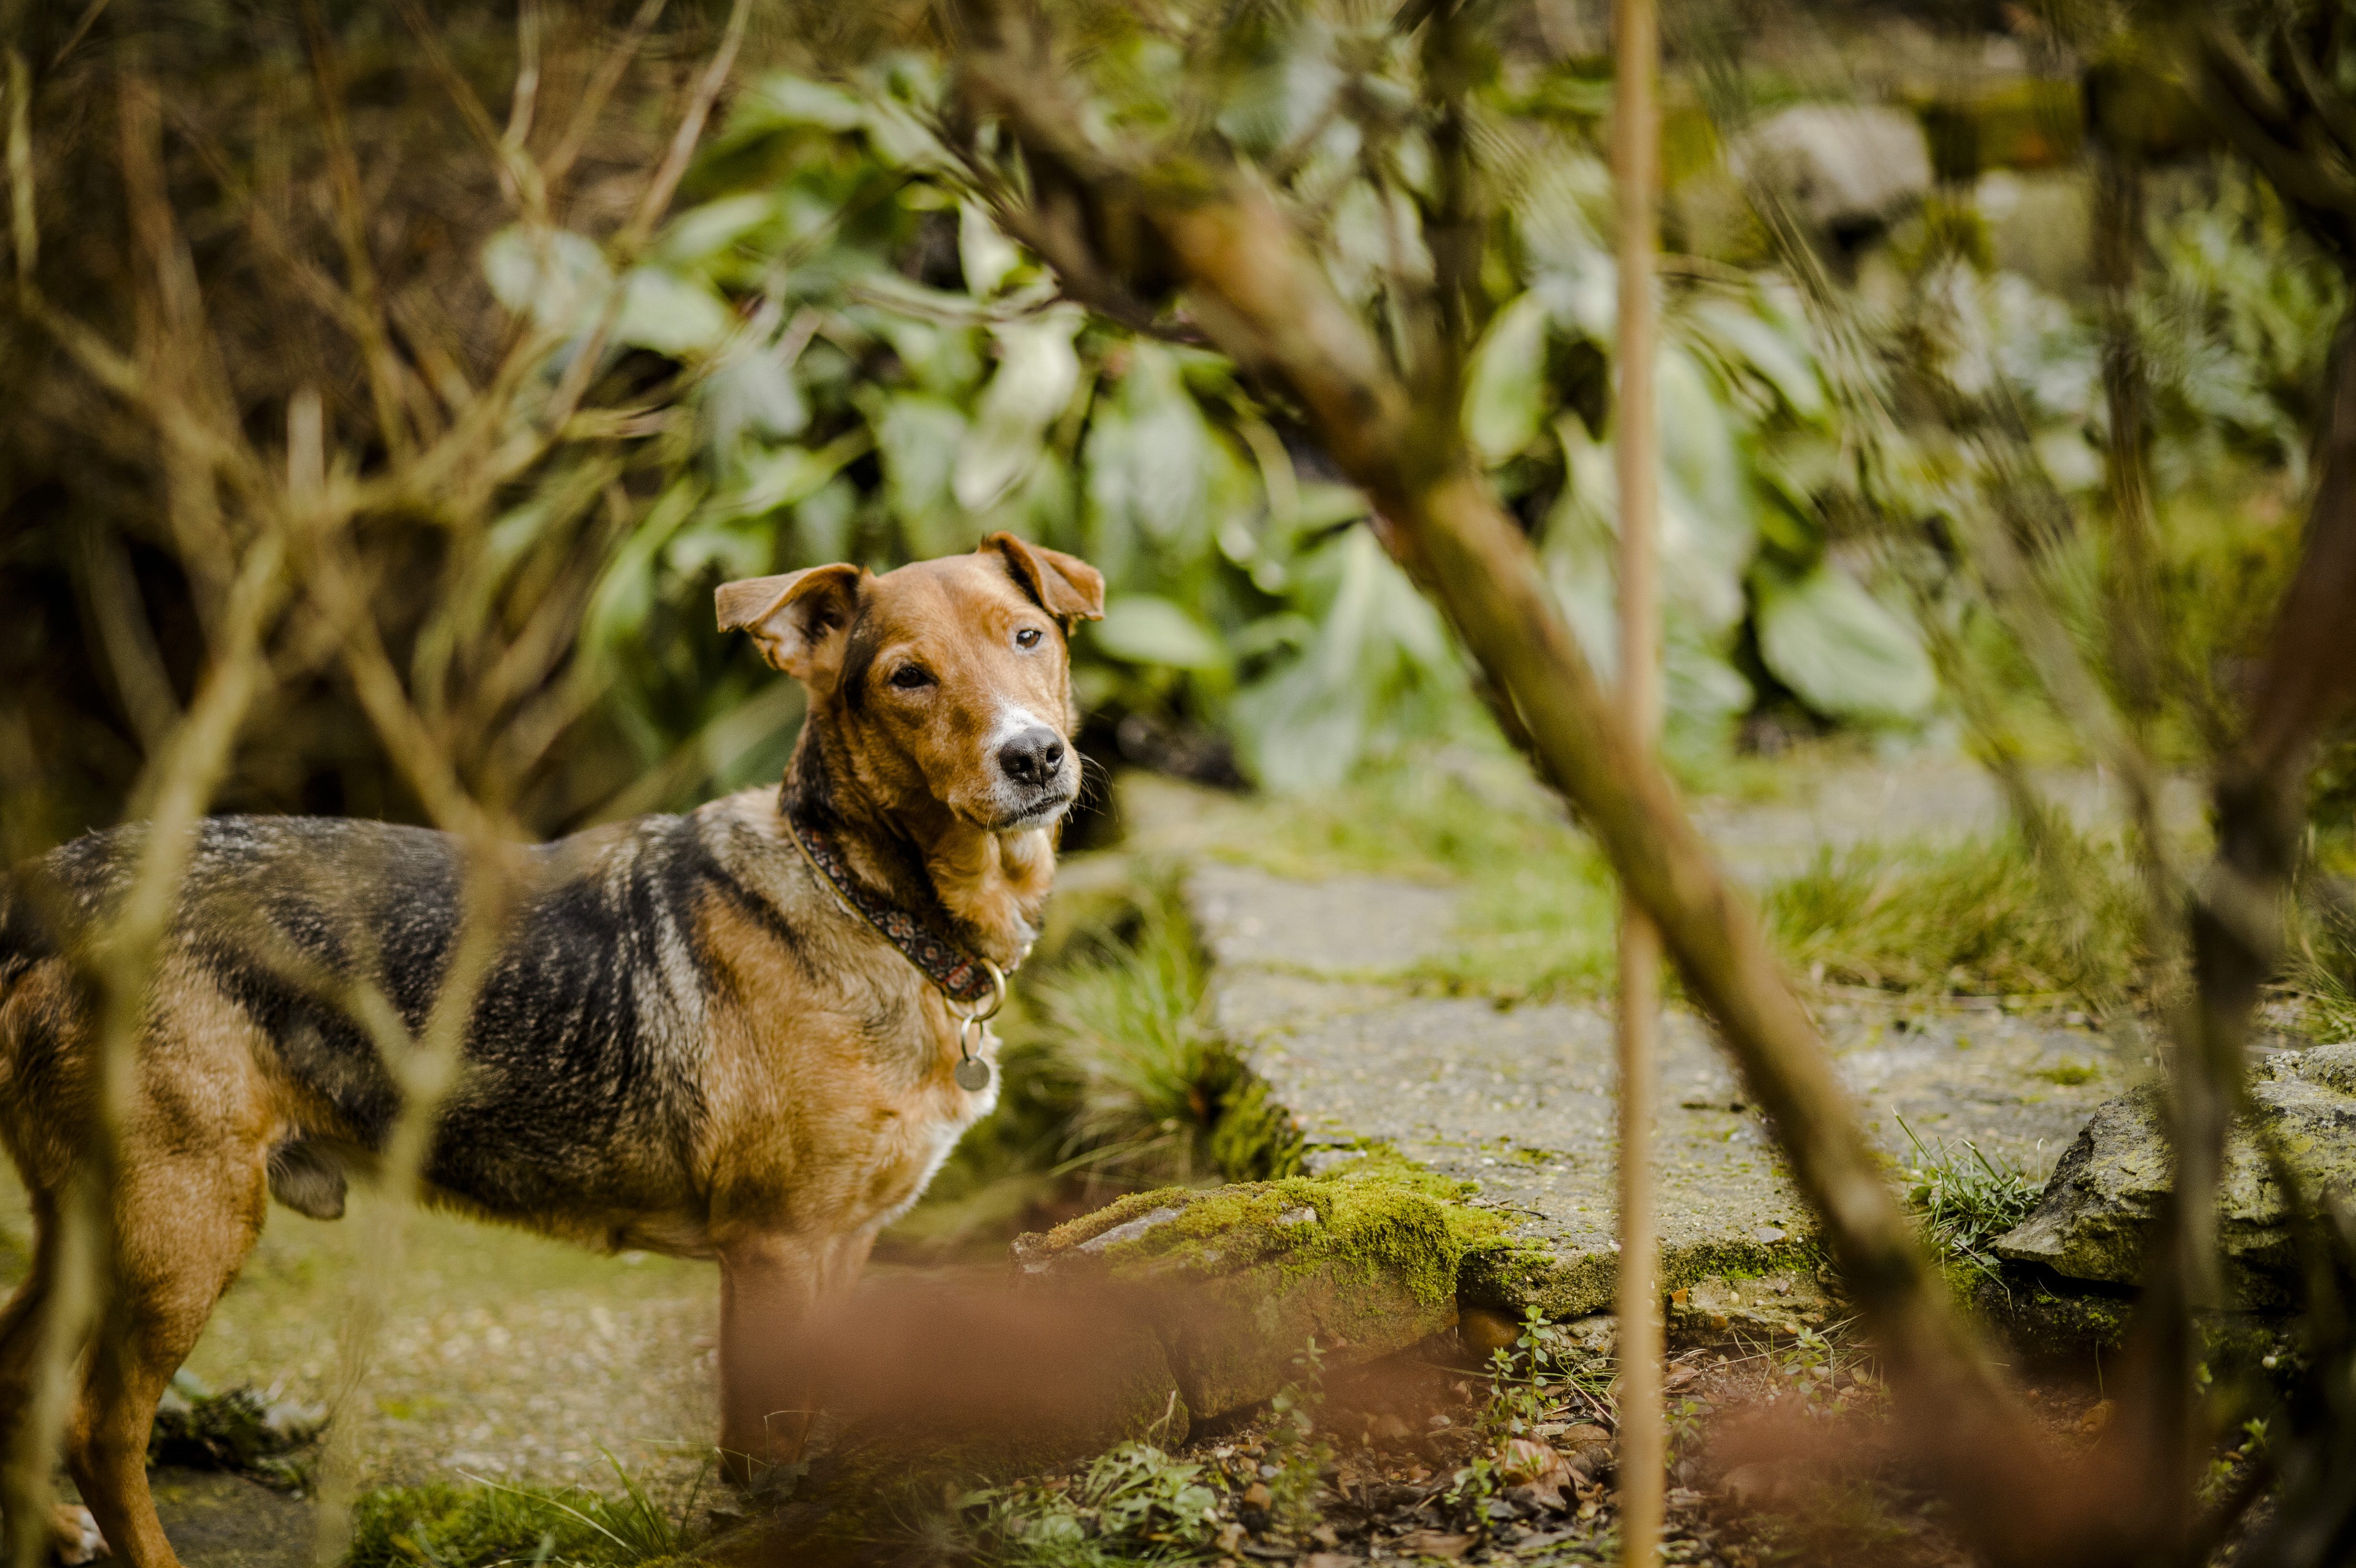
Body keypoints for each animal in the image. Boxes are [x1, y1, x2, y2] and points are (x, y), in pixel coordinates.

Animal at [2, 532, 1102, 1554]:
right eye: (907, 678)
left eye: (1027, 636)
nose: (1034, 757)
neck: (868, 902)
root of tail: (54, 887)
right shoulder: (776, 1247)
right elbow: (770, 1452)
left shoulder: (844, 1241)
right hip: (184, 1224)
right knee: (101, 1426)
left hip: (87, 1217)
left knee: (20, 1361)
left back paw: (47, 1525)